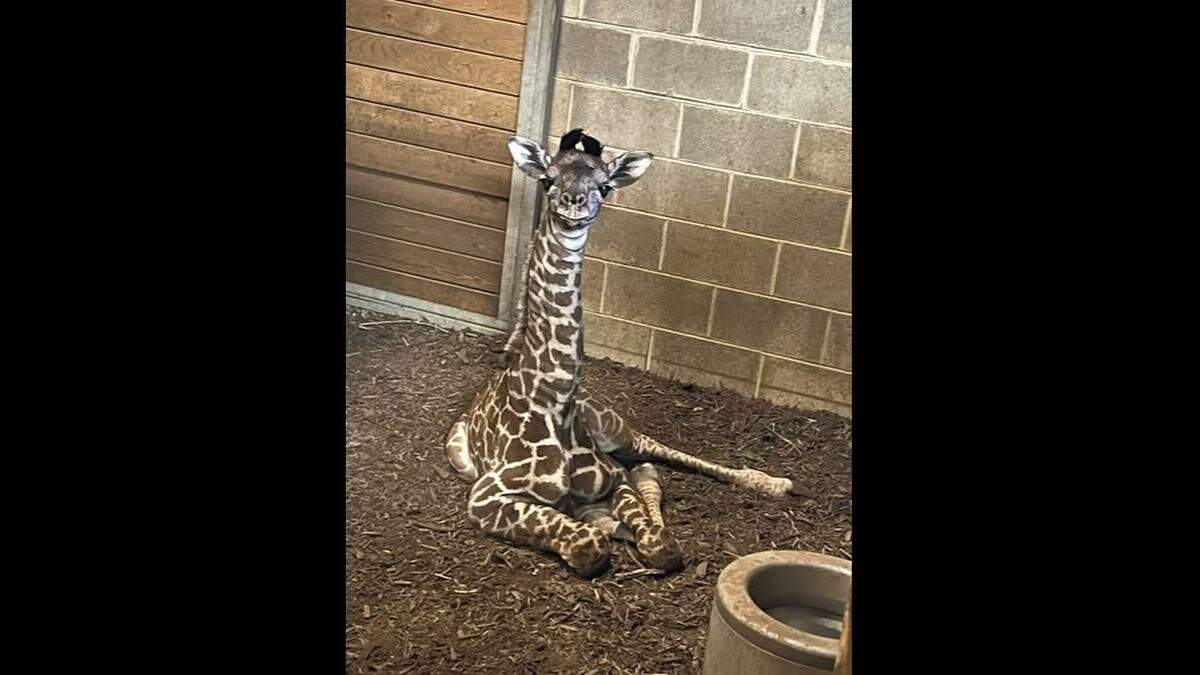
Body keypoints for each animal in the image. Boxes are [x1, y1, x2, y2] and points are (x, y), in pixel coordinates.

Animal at [444, 129, 803, 578]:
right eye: (547, 179)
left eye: (605, 186)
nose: (574, 203)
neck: (554, 403)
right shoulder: (485, 497)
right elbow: (590, 544)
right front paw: (602, 528)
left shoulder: (611, 479)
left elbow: (660, 543)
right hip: (461, 458)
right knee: (644, 465)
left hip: (613, 427)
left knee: (654, 451)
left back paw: (772, 482)